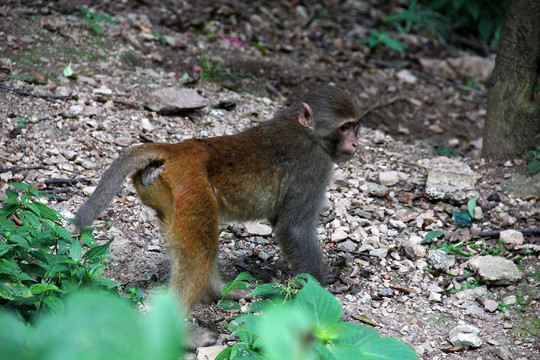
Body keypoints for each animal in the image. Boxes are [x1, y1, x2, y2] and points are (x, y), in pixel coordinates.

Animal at [75, 85, 362, 312]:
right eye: (345, 127)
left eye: (355, 127)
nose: (355, 144)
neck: (308, 132)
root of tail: (177, 149)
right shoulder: (313, 166)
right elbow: (294, 229)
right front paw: (318, 289)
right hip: (193, 187)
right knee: (200, 248)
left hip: (163, 192)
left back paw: (218, 291)